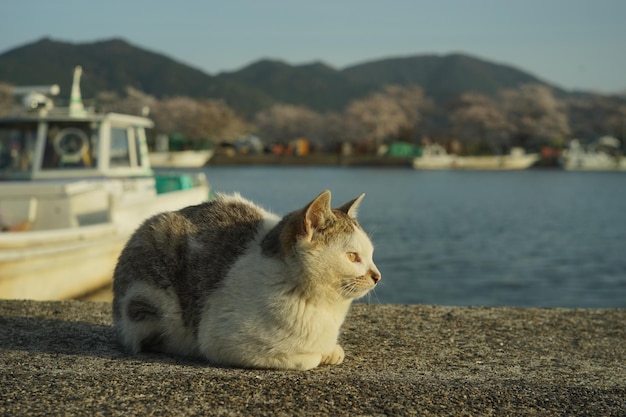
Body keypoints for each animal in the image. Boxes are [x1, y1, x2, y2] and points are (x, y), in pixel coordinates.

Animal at [111, 190, 380, 368]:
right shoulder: (224, 342)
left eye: (370, 255)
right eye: (352, 256)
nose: (377, 275)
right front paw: (319, 355)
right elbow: (307, 360)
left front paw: (331, 351)